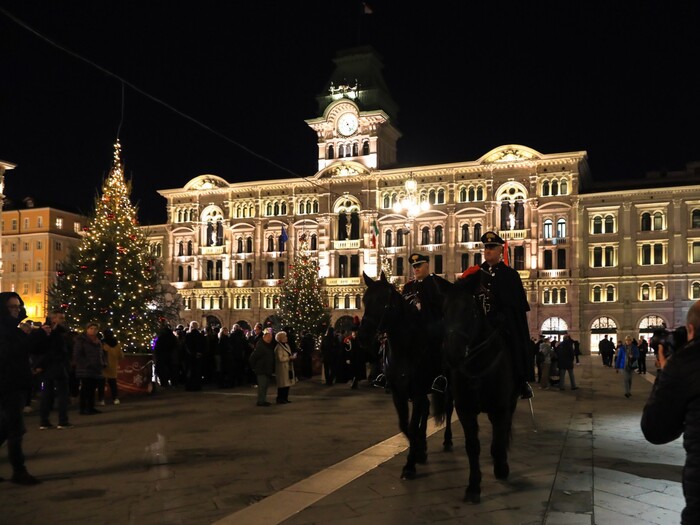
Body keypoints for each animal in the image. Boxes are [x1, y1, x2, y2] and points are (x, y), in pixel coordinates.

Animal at [358, 272, 452, 482]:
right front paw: (418, 452)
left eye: (384, 302)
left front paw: (410, 465)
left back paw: (448, 440)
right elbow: (405, 426)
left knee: (449, 409)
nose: (362, 337)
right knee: (426, 409)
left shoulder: (416, 391)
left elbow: (412, 424)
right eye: (364, 300)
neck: (405, 347)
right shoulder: (398, 392)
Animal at [442, 270, 520, 504]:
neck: (477, 365)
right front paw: (473, 486)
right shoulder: (465, 409)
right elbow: (472, 447)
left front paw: (501, 467)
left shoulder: (500, 408)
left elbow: (497, 441)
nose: (452, 354)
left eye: (471, 311)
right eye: (444, 311)